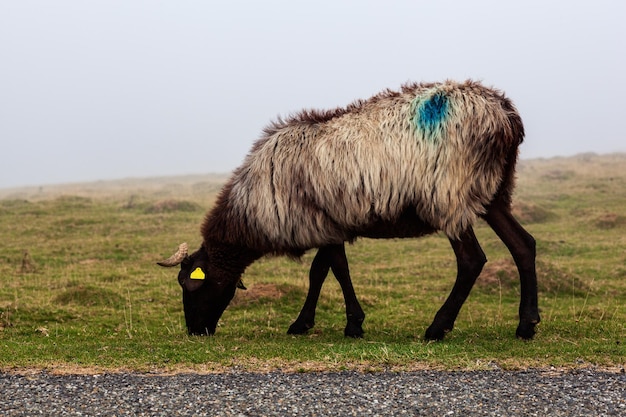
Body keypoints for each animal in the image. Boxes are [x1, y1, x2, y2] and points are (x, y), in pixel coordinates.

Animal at [158, 79, 540, 340]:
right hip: (492, 193)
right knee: (523, 245)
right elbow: (323, 271)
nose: (195, 331)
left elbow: (332, 270)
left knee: (472, 260)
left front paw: (345, 324)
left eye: (190, 286)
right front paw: (313, 322)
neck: (254, 207)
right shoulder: (328, 223)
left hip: (450, 194)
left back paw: (437, 328)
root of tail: (505, 115)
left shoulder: (319, 221)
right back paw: (527, 325)